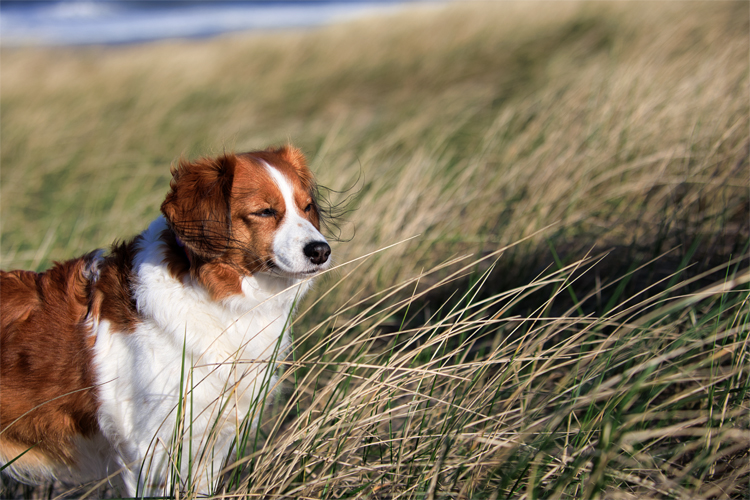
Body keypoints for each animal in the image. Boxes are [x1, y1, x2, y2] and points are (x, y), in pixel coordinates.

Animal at [0, 146, 334, 496]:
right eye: (265, 211)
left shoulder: (209, 443)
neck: (210, 295)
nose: (321, 251)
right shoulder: (151, 448)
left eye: (307, 207)